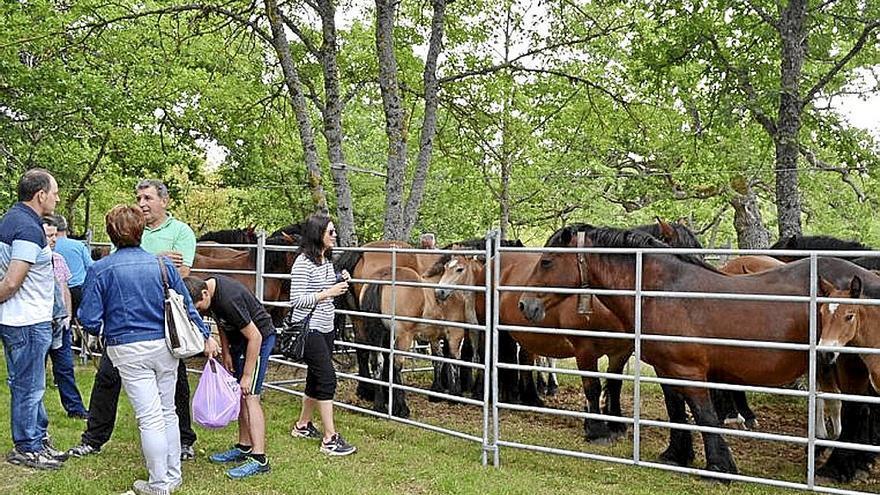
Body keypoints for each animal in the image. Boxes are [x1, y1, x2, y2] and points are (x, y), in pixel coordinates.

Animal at [518, 224, 880, 479]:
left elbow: (704, 415)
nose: (525, 304)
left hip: (845, 364)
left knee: (855, 410)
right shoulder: (666, 369)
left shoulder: (689, 371)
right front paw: (677, 455)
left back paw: (838, 468)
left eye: (547, 261)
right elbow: (677, 411)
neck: (663, 291)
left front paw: (720, 467)